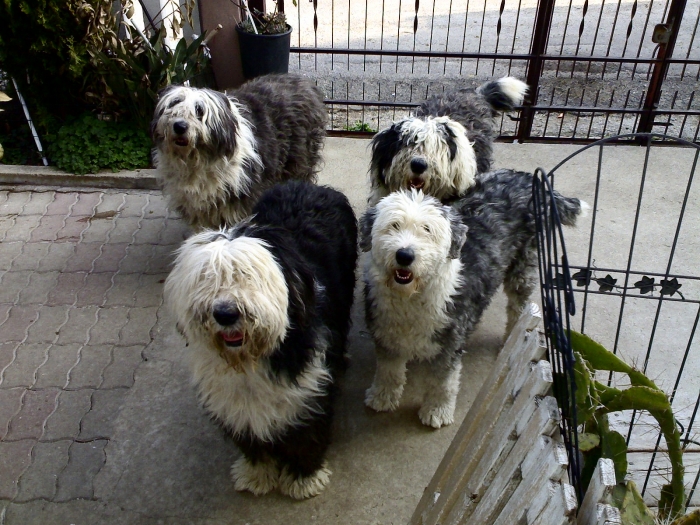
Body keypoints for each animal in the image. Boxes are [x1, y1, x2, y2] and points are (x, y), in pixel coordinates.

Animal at [152, 75, 326, 229]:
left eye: (199, 111)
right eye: (173, 105)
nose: (179, 126)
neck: (198, 160)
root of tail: (304, 81)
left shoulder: (239, 199)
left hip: (299, 159)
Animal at [166, 181, 358, 500]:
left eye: (248, 276)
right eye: (207, 278)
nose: (225, 313)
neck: (252, 360)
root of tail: (308, 185)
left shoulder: (308, 386)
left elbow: (308, 433)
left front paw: (304, 477)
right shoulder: (232, 398)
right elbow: (250, 436)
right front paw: (257, 474)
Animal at [360, 170, 584, 428]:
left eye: (427, 230)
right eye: (393, 225)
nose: (404, 255)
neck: (412, 297)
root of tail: (530, 178)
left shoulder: (451, 341)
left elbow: (443, 383)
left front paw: (437, 412)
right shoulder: (386, 332)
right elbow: (389, 371)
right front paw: (382, 397)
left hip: (523, 264)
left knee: (518, 306)